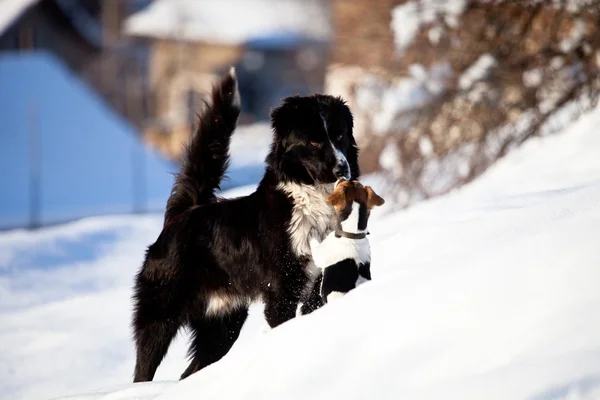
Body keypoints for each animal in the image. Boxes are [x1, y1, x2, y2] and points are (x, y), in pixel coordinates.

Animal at [131, 70, 358, 382]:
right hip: (160, 318)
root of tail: (182, 214)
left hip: (222, 326)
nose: (342, 169)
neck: (312, 205)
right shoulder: (282, 292)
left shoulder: (318, 286)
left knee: (191, 371)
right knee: (142, 371)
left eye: (340, 135)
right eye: (314, 143)